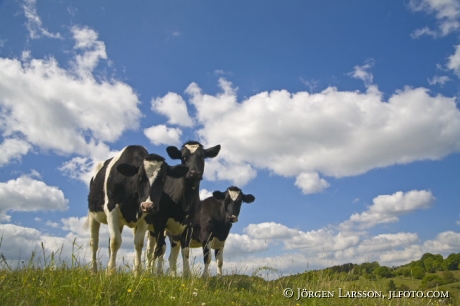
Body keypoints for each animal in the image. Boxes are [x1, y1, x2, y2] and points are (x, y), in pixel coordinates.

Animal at [87, 145, 188, 274]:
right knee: (94, 243)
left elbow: (138, 243)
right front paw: (110, 272)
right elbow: (115, 242)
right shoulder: (111, 210)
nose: (148, 205)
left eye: (163, 179)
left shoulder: (145, 218)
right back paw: (93, 271)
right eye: (139, 177)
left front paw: (137, 273)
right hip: (92, 215)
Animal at [146, 141, 221, 274]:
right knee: (150, 251)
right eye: (184, 157)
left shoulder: (189, 225)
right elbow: (160, 248)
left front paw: (186, 275)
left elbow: (185, 251)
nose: (194, 173)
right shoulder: (159, 221)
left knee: (169, 255)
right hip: (151, 228)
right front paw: (158, 273)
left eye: (202, 157)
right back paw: (146, 271)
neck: (184, 202)